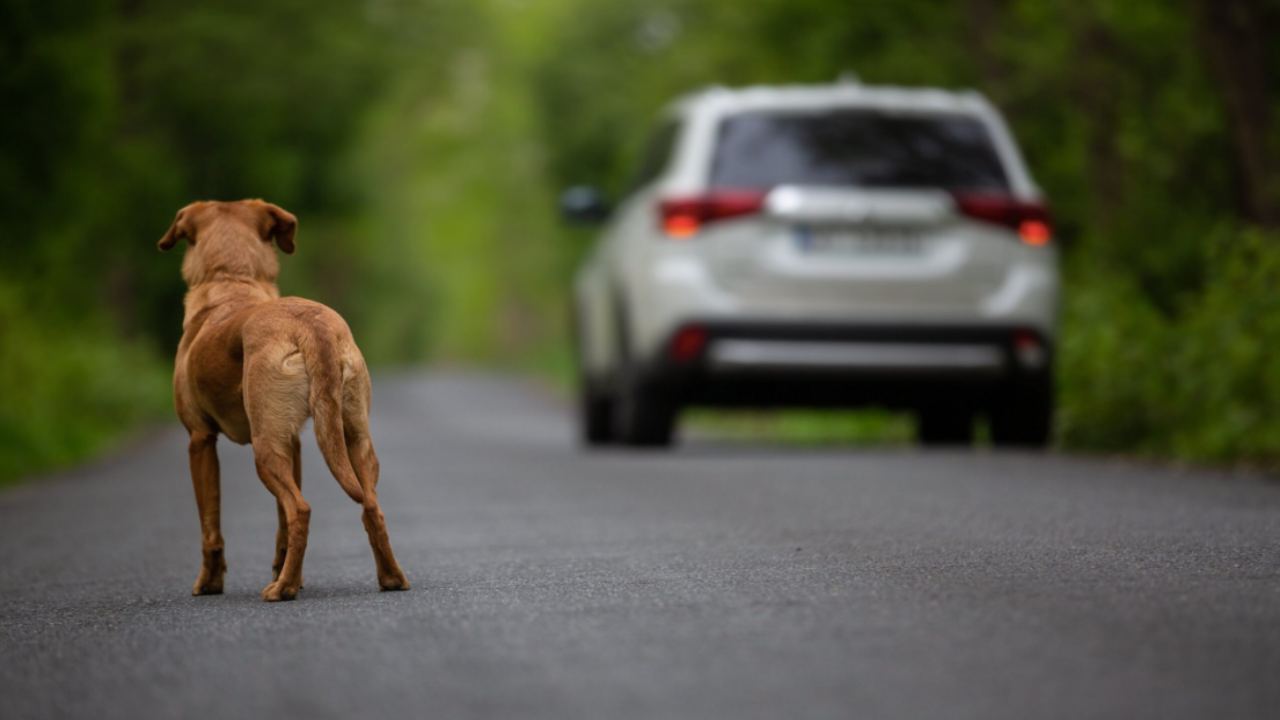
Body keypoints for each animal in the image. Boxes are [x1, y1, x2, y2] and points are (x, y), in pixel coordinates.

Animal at [159, 198, 407, 597]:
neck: (232, 279)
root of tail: (310, 324)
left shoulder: (200, 440)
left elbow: (211, 527)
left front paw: (209, 583)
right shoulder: (295, 442)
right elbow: (279, 527)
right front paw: (284, 569)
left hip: (265, 448)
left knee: (300, 509)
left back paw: (282, 590)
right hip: (354, 438)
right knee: (371, 506)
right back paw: (389, 578)